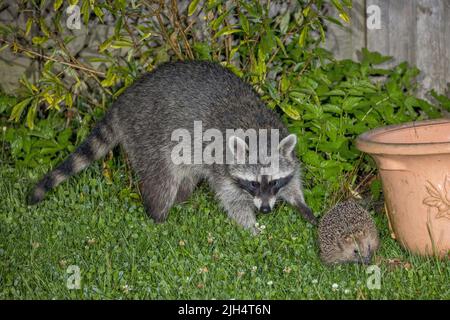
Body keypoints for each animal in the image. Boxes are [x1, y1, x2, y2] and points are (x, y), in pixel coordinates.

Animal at [28, 61, 316, 234]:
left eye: (274, 182)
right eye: (253, 183)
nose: (266, 210)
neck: (257, 128)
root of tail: (122, 102)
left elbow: (293, 178)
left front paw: (299, 201)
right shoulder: (221, 160)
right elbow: (230, 198)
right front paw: (250, 226)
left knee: (185, 179)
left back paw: (181, 203)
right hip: (148, 136)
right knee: (162, 182)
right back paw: (159, 218)